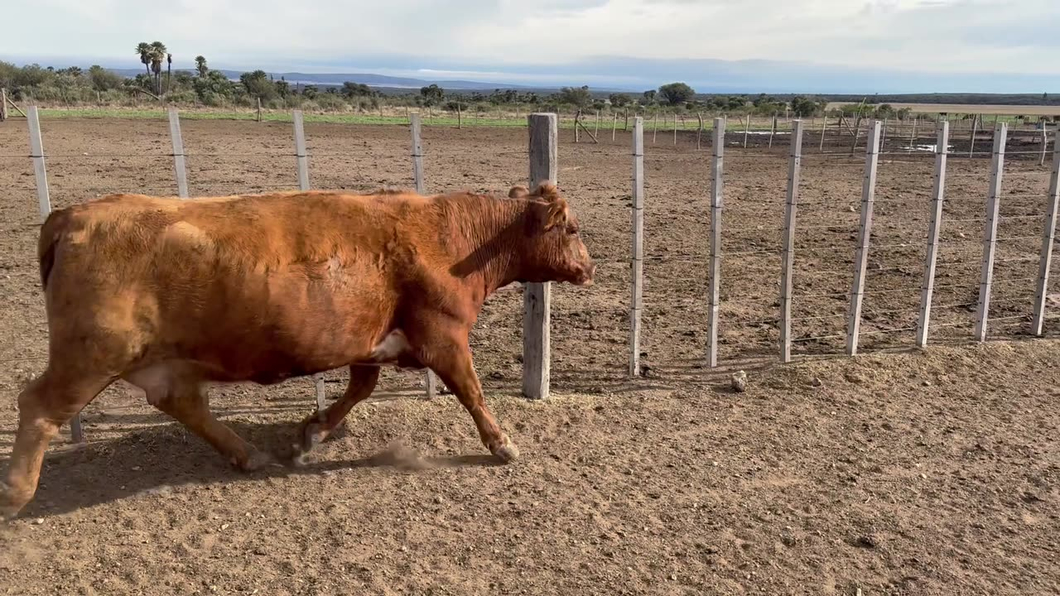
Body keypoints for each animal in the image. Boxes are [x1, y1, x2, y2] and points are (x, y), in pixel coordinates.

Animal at [0, 182, 595, 519]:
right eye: (571, 227)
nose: (589, 266)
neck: (450, 238)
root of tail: (74, 214)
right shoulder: (443, 337)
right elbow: (471, 392)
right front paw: (501, 444)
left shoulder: (367, 340)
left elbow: (360, 388)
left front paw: (311, 434)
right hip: (91, 354)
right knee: (39, 407)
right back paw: (15, 492)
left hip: (157, 362)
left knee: (184, 405)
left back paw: (248, 454)